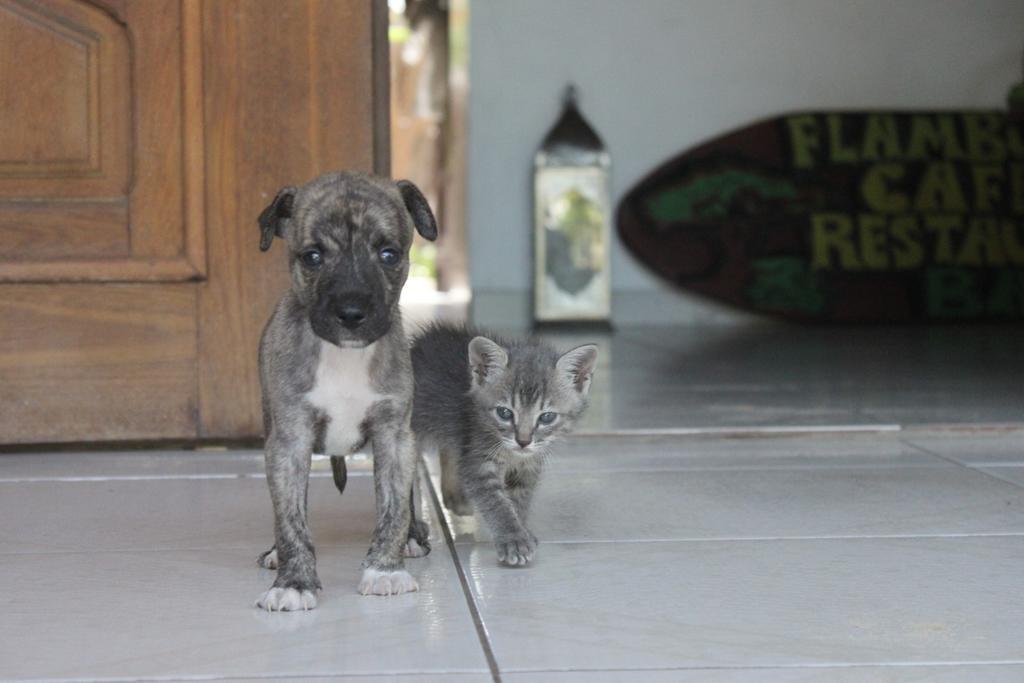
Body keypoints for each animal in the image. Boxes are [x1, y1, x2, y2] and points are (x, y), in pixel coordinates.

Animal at [409, 323, 598, 569]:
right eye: (505, 413)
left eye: (546, 417)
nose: (523, 441)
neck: (513, 455)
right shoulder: (478, 463)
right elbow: (496, 502)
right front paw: (513, 539)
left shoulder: (528, 467)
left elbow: (518, 500)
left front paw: (521, 529)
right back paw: (412, 527)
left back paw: (455, 498)